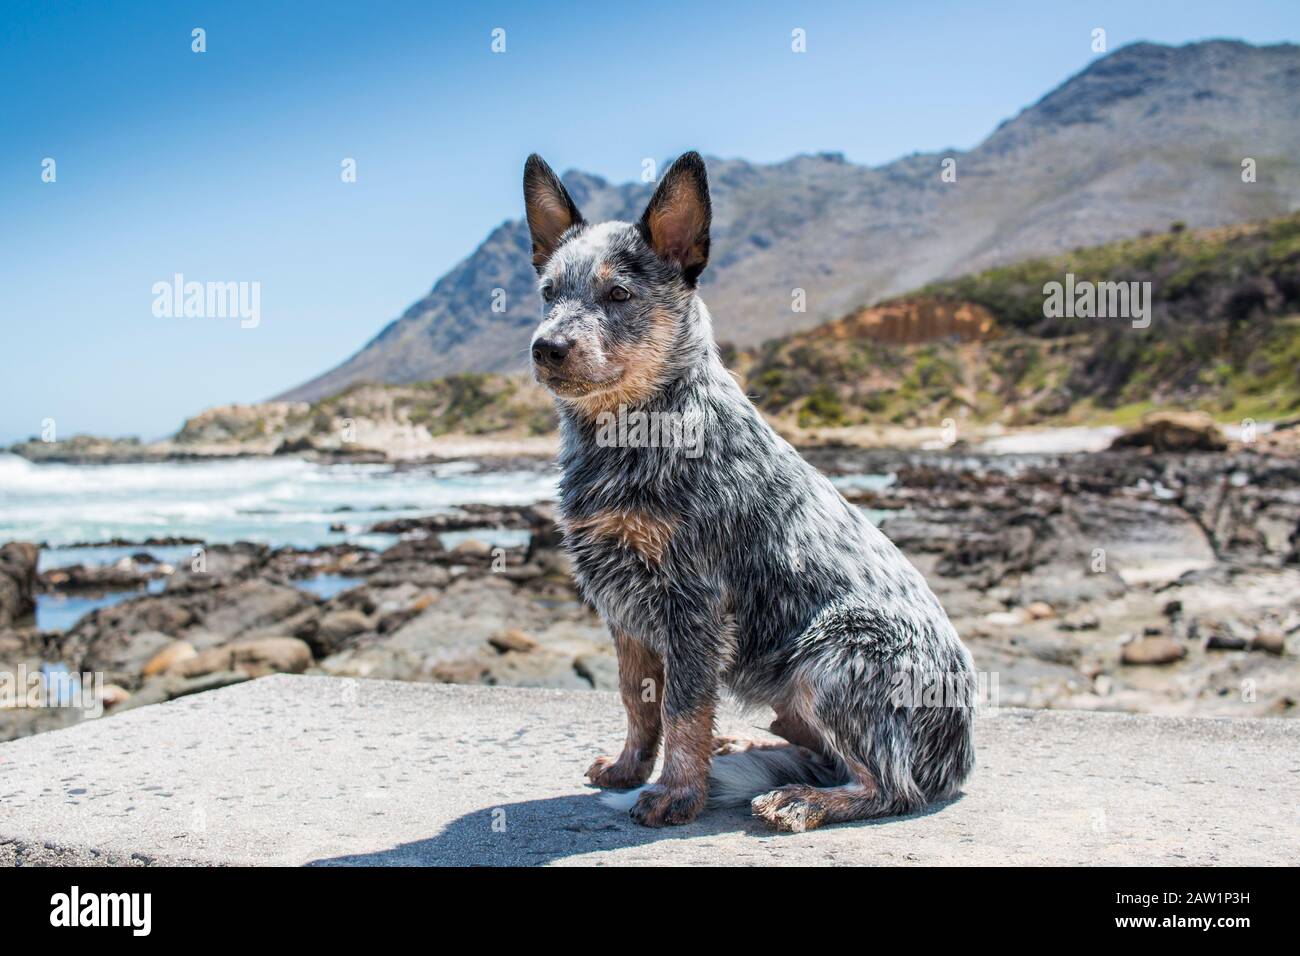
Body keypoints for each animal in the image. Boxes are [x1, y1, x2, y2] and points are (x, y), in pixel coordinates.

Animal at [522, 149, 972, 832]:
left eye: (618, 293)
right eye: (549, 293)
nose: (546, 347)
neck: (631, 434)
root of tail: (963, 758)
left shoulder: (694, 604)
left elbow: (682, 710)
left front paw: (676, 792)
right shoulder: (622, 604)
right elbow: (637, 701)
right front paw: (630, 768)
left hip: (832, 654)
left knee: (891, 786)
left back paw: (802, 799)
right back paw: (748, 748)